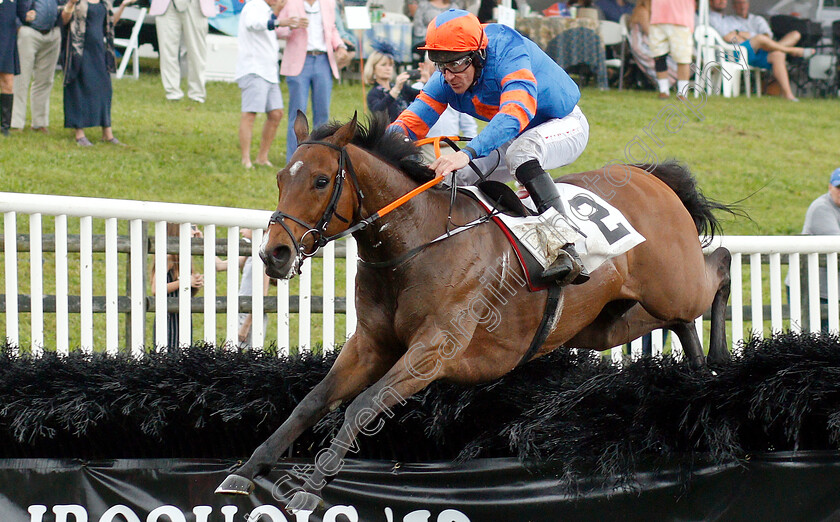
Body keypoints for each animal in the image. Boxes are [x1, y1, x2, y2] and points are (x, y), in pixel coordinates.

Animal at [218, 112, 736, 508]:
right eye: (280, 178)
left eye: (321, 180)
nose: (274, 254)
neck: (416, 241)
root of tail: (652, 178)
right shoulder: (370, 344)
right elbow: (311, 401)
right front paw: (247, 469)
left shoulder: (433, 352)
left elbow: (362, 406)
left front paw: (309, 486)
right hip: (602, 323)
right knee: (677, 318)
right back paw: (696, 378)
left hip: (674, 284)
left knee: (720, 267)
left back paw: (719, 365)